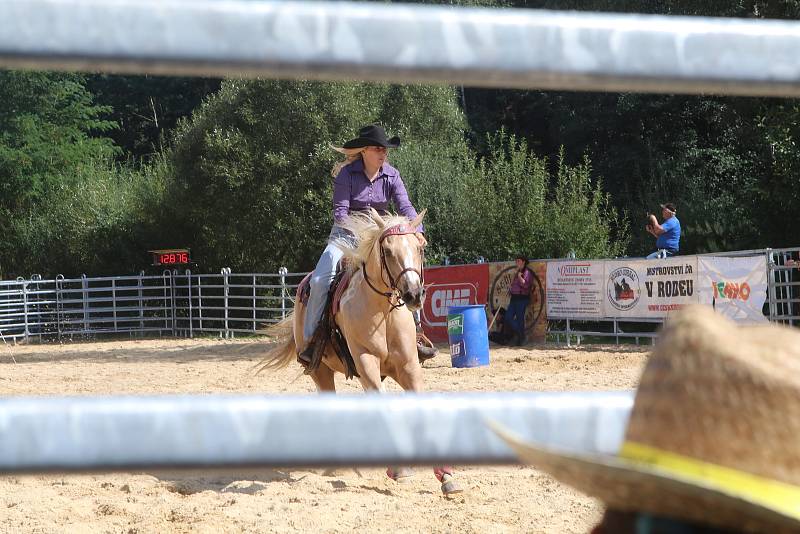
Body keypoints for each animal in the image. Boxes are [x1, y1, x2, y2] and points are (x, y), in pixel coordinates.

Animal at [260, 209, 462, 498]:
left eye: (420, 247)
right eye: (387, 251)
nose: (413, 294)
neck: (383, 312)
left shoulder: (408, 367)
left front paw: (446, 476)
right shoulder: (367, 363)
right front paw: (399, 468)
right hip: (321, 371)